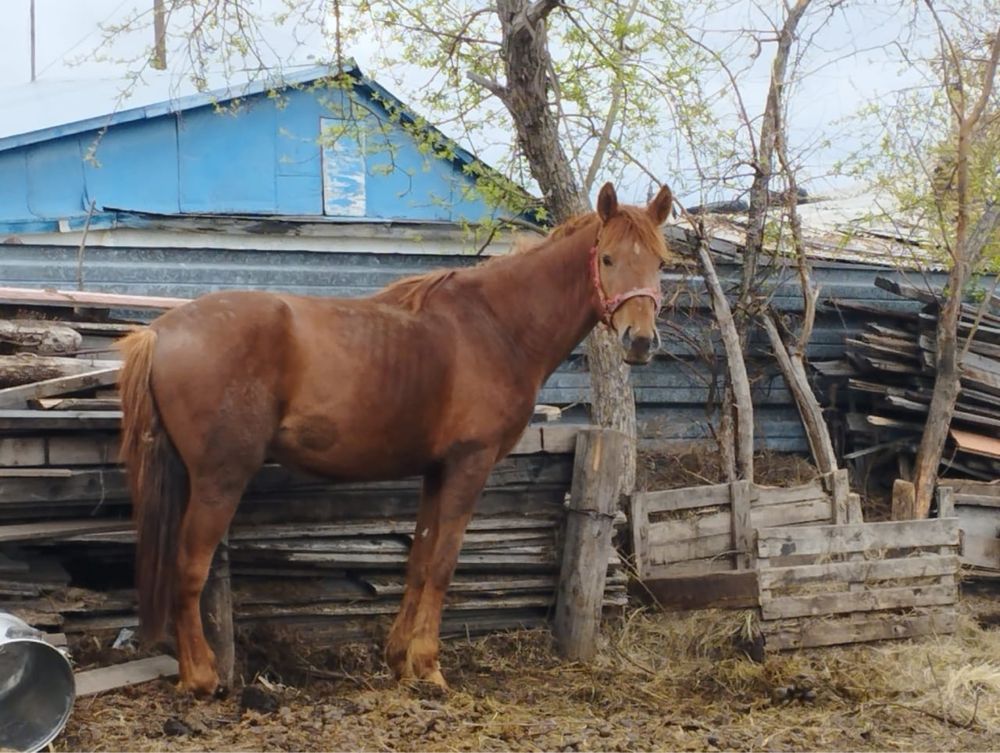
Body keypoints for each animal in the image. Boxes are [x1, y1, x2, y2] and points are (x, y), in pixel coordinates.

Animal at [115, 179, 680, 696]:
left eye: (660, 262)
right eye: (607, 258)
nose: (640, 341)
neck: (496, 325)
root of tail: (161, 332)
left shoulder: (436, 470)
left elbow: (420, 560)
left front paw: (400, 661)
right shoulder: (469, 465)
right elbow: (444, 565)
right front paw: (429, 666)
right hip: (219, 479)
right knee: (189, 568)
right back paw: (202, 677)